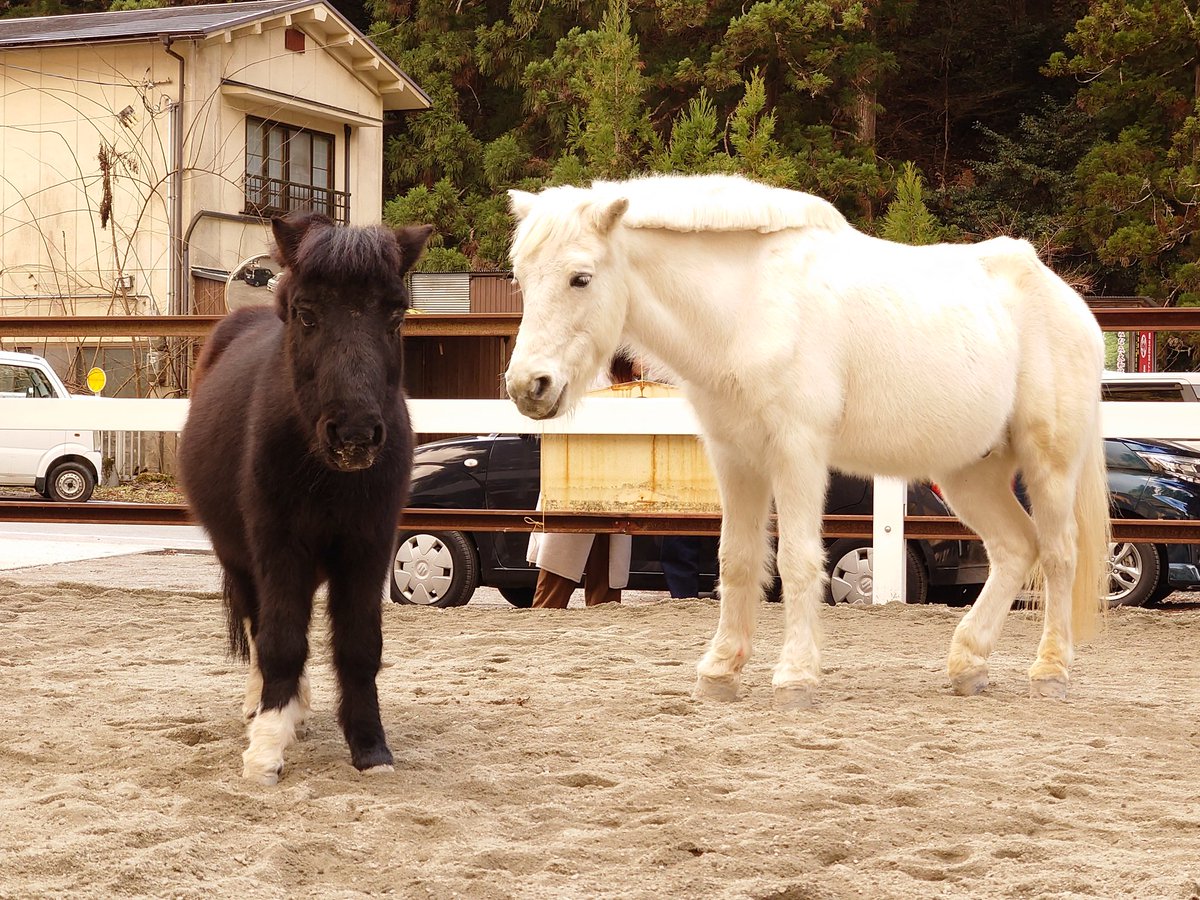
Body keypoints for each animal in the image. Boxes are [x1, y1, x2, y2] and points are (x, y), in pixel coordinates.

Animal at [179, 211, 432, 783]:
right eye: (306, 314)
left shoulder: (368, 549)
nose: (355, 434)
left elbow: (359, 646)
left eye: (395, 316)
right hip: (240, 559)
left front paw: (370, 747)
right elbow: (281, 641)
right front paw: (266, 748)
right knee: (258, 628)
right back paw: (265, 707)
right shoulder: (278, 548)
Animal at [503, 173, 1109, 708]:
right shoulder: (735, 457)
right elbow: (738, 559)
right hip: (969, 473)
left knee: (1058, 554)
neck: (750, 306)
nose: (528, 386)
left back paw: (1050, 672)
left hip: (1049, 463)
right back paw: (968, 665)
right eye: (521, 279)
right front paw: (719, 673)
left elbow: (797, 559)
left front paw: (795, 677)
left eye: (581, 278)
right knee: (1015, 549)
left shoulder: (797, 453)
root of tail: (1069, 303)